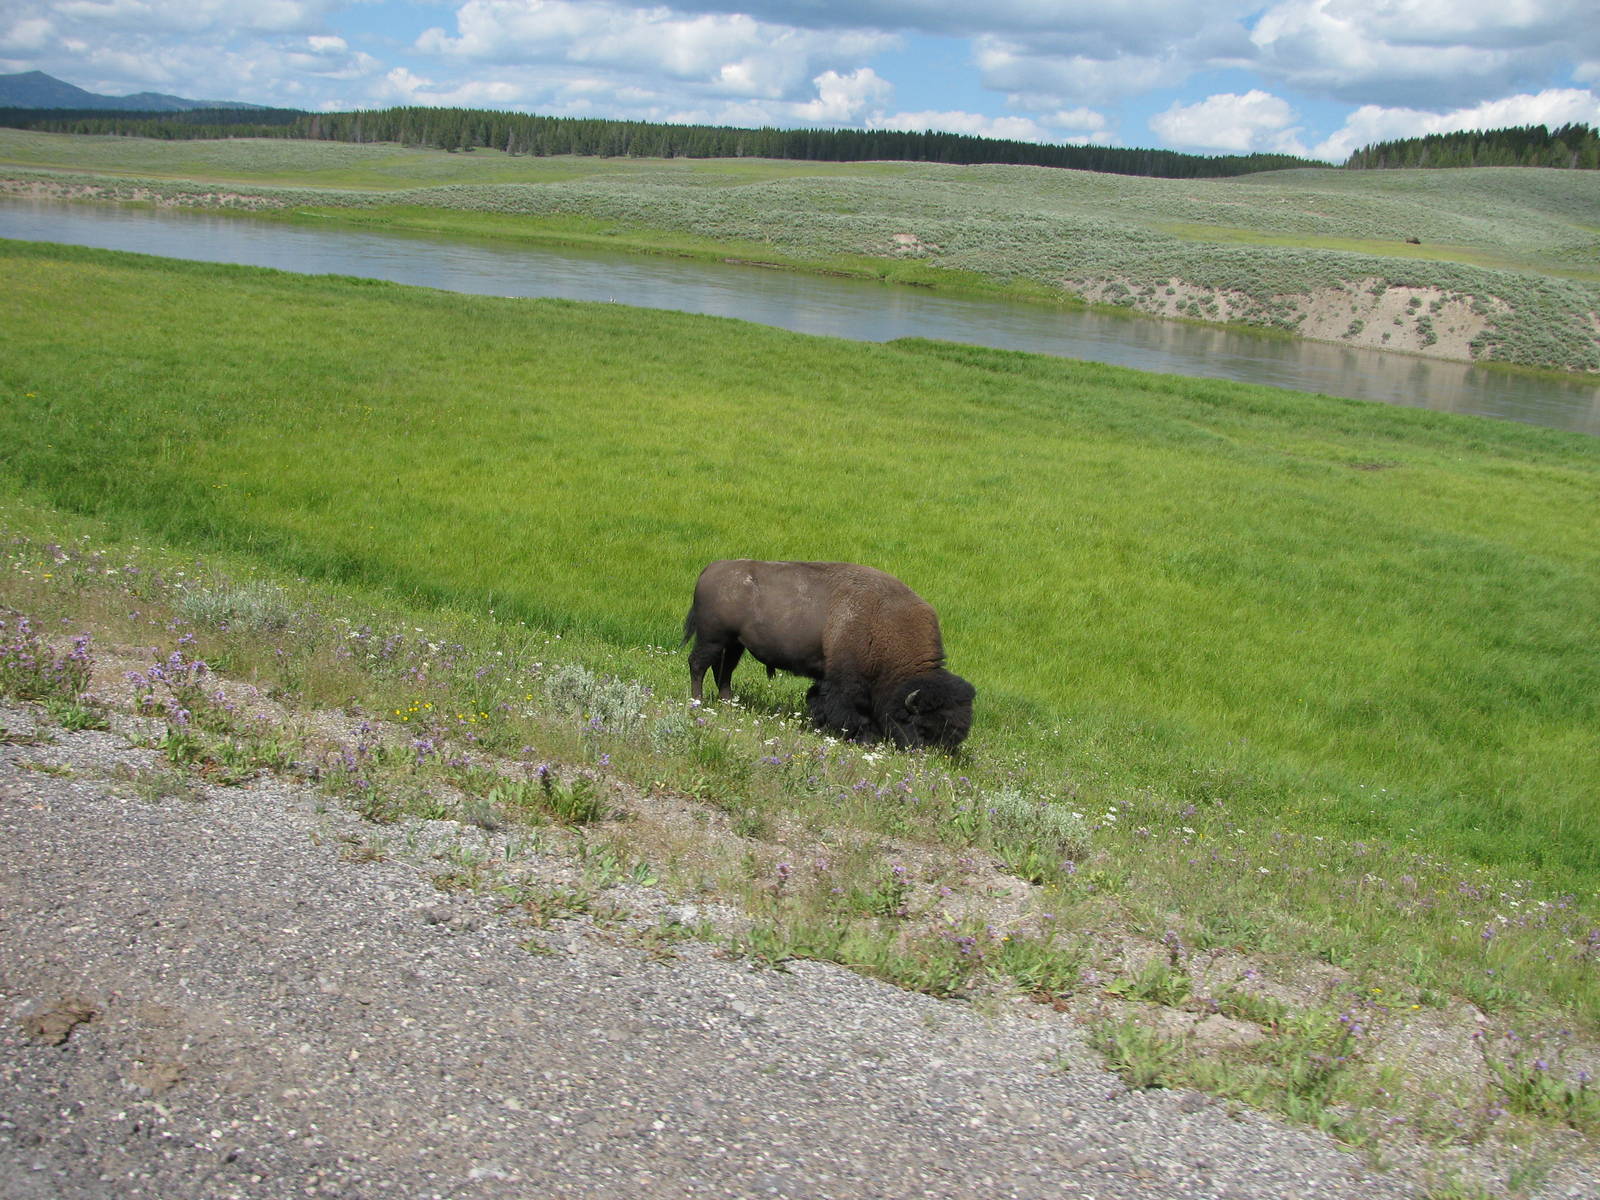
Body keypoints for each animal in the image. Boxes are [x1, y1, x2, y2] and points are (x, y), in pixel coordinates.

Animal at [682, 559, 975, 750]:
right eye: (924, 727)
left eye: (957, 734)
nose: (927, 755)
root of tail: (710, 569)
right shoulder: (844, 682)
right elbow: (844, 709)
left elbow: (817, 699)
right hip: (712, 638)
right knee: (698, 665)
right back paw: (698, 702)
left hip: (734, 644)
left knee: (724, 671)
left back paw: (727, 705)